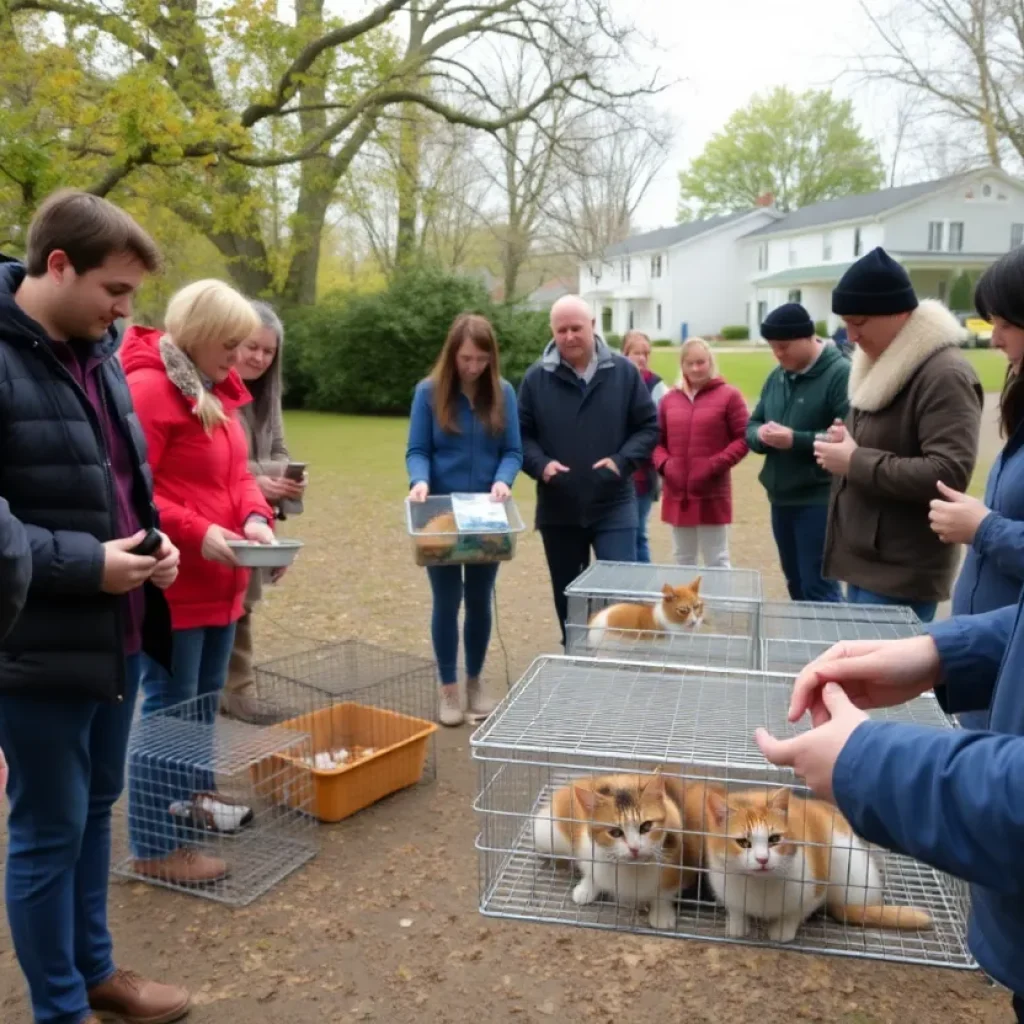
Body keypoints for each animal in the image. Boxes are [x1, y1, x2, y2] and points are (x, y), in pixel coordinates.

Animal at [532, 770, 708, 933]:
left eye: (646, 826)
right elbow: (591, 872)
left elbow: (665, 893)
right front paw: (586, 889)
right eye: (615, 832)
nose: (634, 848)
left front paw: (662, 914)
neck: (630, 869)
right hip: (545, 832)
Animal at [700, 782, 933, 942]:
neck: (759, 887)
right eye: (743, 842)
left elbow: (796, 913)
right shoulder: (723, 884)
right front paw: (737, 925)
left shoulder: (816, 888)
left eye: (774, 839)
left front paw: (782, 930)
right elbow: (736, 909)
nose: (762, 859)